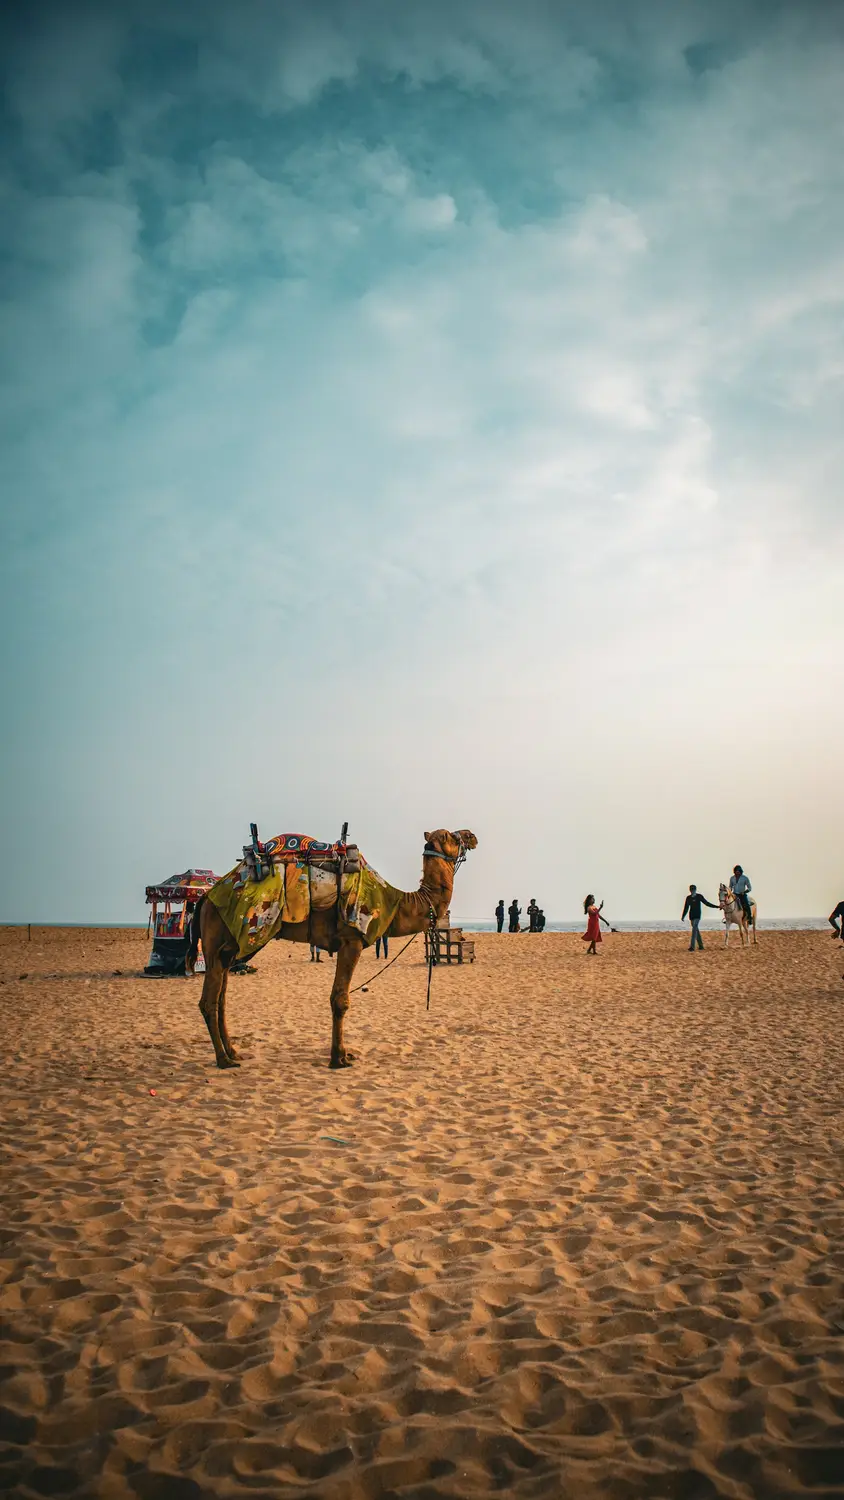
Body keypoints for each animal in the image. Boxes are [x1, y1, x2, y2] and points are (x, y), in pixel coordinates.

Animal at [187, 828, 477, 1070]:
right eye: (452, 836)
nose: (472, 836)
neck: (393, 902)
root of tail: (205, 898)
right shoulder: (352, 940)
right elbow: (340, 999)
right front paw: (339, 1059)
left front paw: (343, 1054)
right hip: (217, 940)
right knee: (208, 1001)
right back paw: (223, 1060)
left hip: (229, 949)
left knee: (221, 999)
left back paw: (233, 1052)